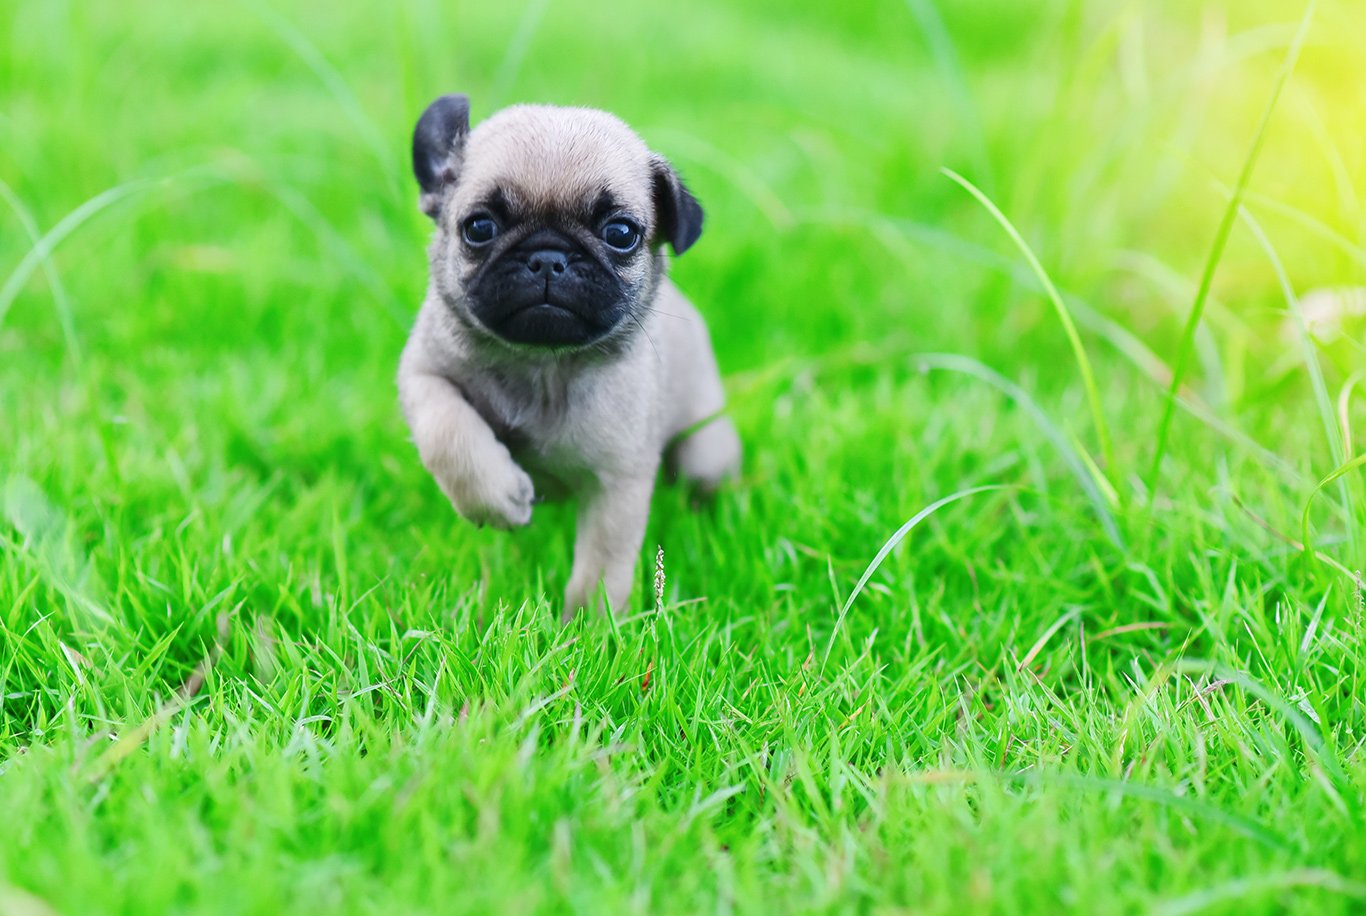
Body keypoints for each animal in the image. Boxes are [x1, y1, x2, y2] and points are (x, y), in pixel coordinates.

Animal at [397, 94, 741, 619]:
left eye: (620, 233)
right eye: (479, 227)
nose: (547, 257)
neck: (542, 364)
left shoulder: (617, 486)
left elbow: (601, 569)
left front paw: (590, 628)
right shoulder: (424, 374)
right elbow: (448, 433)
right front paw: (497, 498)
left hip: (707, 447)